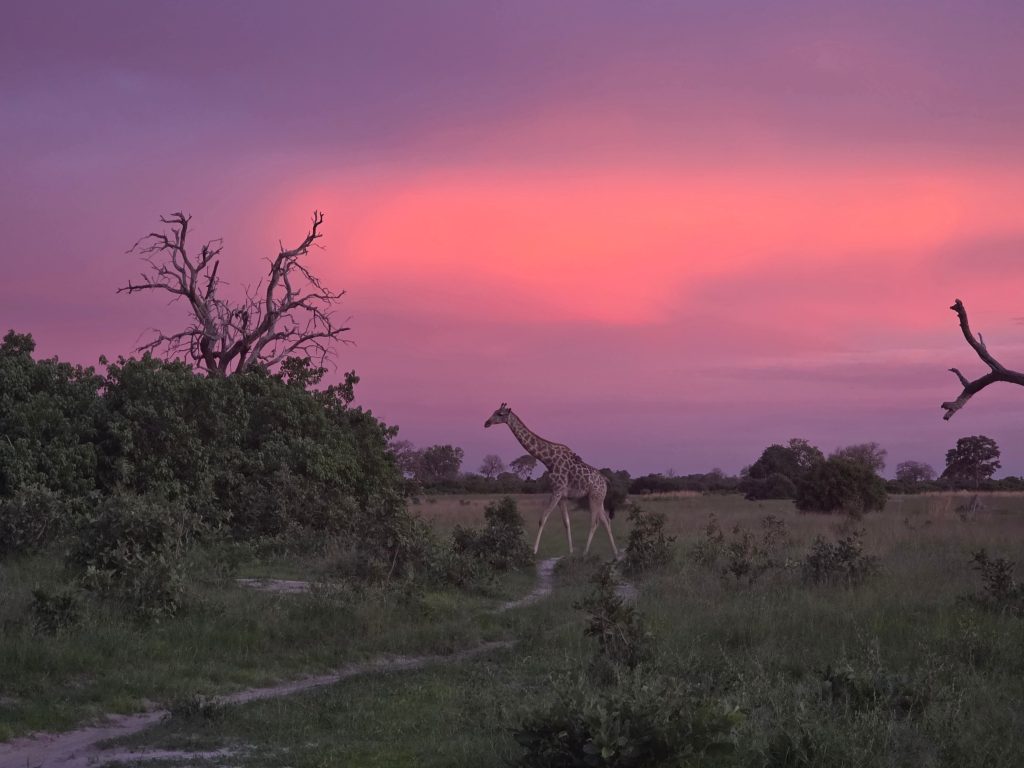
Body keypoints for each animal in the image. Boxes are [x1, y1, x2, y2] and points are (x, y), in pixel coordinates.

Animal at [484, 403, 618, 557]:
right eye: (494, 411)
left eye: (500, 414)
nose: (486, 423)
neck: (548, 460)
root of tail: (606, 480)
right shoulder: (562, 496)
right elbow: (566, 522)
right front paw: (570, 552)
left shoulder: (557, 491)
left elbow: (542, 519)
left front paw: (534, 551)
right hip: (599, 498)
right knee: (606, 521)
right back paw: (615, 553)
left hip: (594, 497)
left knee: (595, 522)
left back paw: (585, 553)